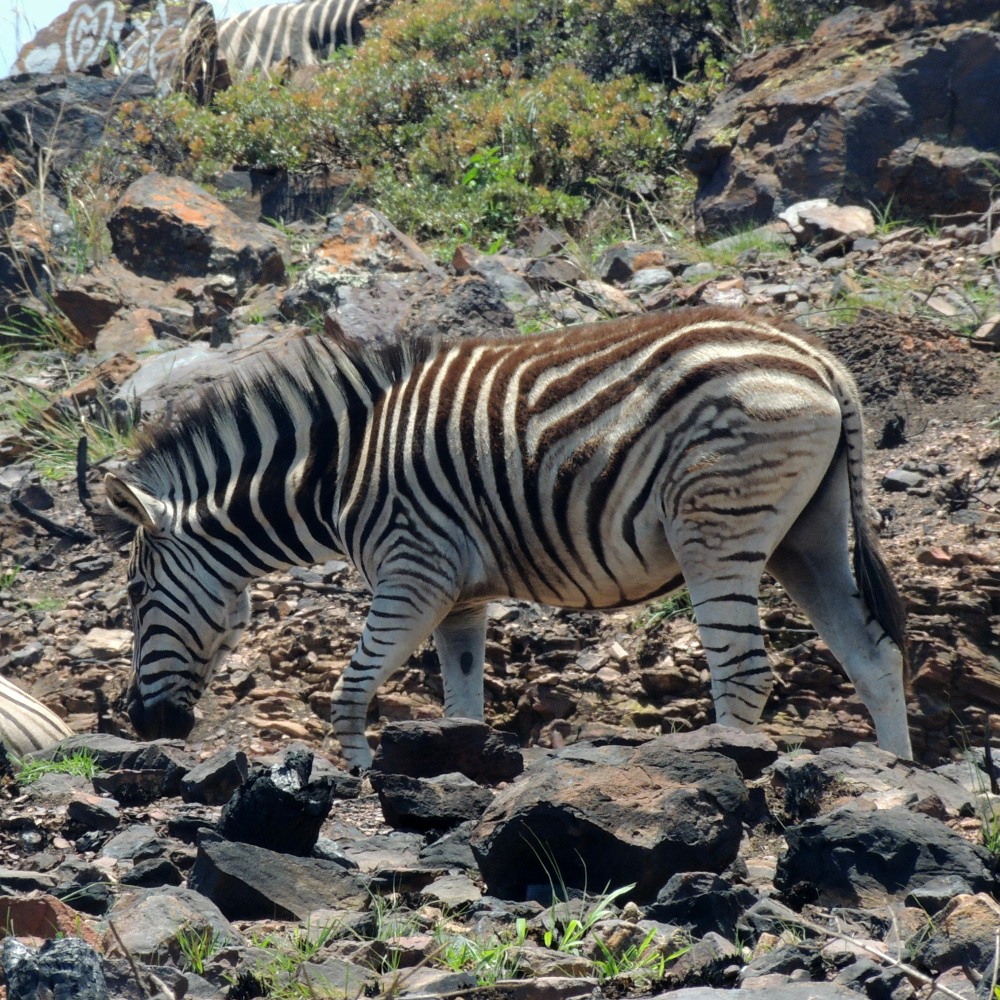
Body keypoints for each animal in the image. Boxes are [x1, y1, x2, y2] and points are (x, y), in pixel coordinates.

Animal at [102, 307, 913, 768]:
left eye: (137, 596)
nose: (145, 723)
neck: (337, 472)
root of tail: (815, 356)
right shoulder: (461, 599)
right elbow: (461, 705)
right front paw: (455, 772)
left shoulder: (413, 572)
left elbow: (349, 689)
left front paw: (358, 775)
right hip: (807, 534)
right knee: (872, 657)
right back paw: (900, 777)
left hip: (716, 528)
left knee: (744, 670)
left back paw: (727, 769)